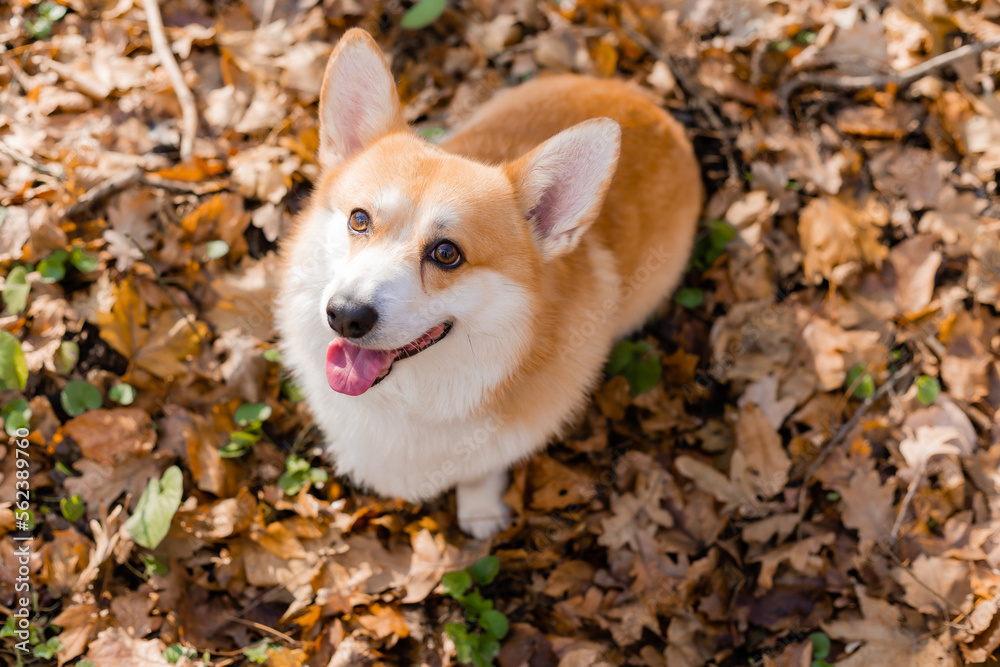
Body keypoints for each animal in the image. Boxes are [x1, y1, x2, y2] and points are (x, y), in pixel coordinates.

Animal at [276, 30, 704, 536]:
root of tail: (647, 103)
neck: (411, 397)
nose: (345, 316)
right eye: (359, 219)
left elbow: (481, 471)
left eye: (447, 254)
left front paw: (480, 513)